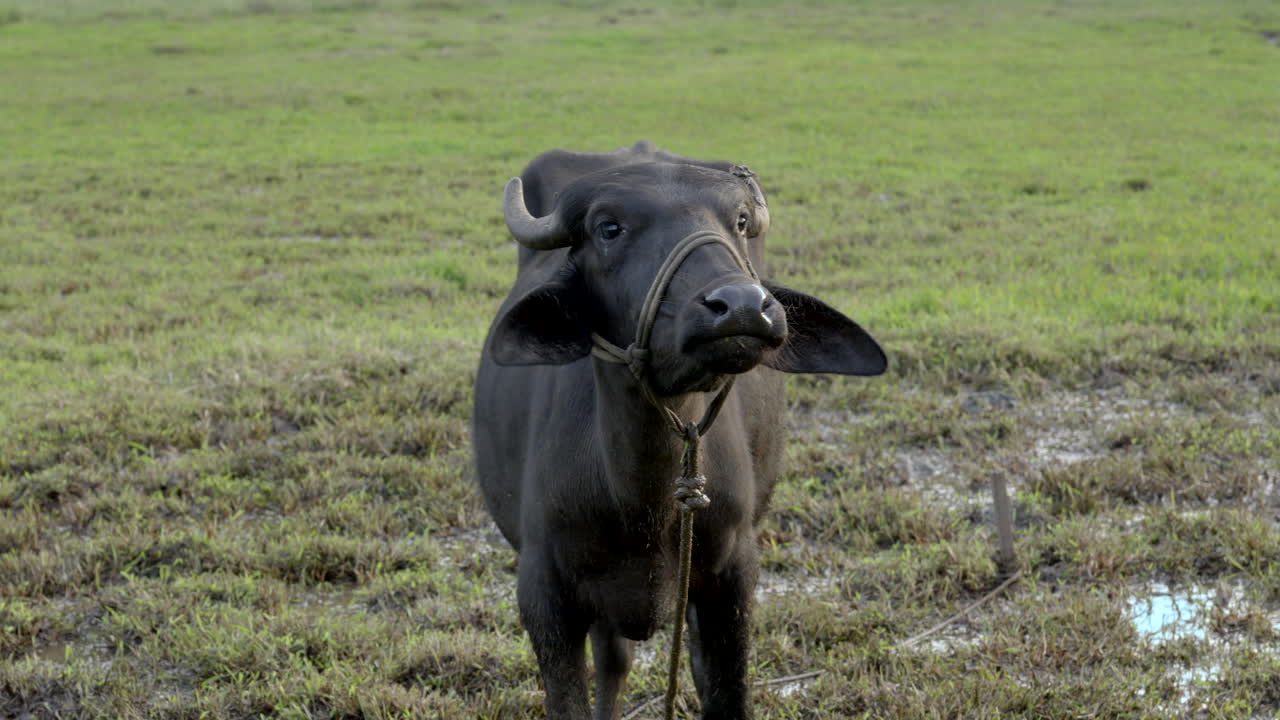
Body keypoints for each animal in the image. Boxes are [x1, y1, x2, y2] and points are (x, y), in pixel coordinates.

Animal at [472, 141, 886, 719]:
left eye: (740, 221)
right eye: (609, 227)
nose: (741, 307)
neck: (640, 503)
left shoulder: (732, 578)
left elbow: (726, 695)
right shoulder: (543, 594)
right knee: (615, 659)